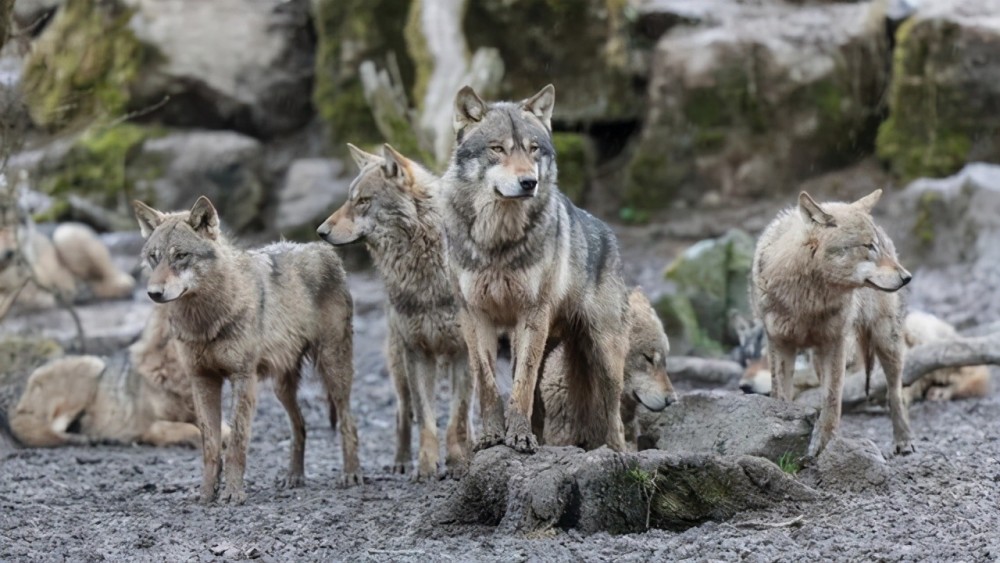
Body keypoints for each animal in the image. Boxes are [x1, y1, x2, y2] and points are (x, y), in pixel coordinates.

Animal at [133, 196, 360, 504]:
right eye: (154, 257)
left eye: (180, 256)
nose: (154, 293)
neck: (206, 320)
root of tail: (323, 249)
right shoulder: (202, 380)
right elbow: (210, 445)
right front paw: (206, 494)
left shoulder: (243, 378)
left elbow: (236, 442)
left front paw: (233, 493)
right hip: (281, 387)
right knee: (300, 426)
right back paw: (294, 477)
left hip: (334, 371)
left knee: (349, 421)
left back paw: (351, 475)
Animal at [320, 143, 476, 482]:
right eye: (349, 199)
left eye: (363, 201)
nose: (320, 231)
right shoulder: (416, 351)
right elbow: (426, 420)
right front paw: (426, 467)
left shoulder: (465, 352)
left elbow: (456, 417)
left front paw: (459, 462)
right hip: (399, 364)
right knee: (402, 412)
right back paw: (402, 461)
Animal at [442, 83, 628, 454]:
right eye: (498, 149)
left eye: (533, 149)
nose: (529, 182)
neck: (498, 242)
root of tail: (608, 233)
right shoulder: (474, 315)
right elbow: (487, 384)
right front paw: (491, 437)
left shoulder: (531, 314)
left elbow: (521, 386)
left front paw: (518, 437)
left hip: (604, 356)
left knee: (615, 418)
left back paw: (617, 454)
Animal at [752, 189, 916, 458]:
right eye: (868, 246)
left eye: (878, 247)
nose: (907, 277)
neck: (808, 301)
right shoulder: (779, 343)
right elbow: (781, 395)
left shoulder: (836, 343)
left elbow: (832, 399)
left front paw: (824, 445)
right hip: (819, 358)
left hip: (886, 342)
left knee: (896, 392)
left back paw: (904, 440)